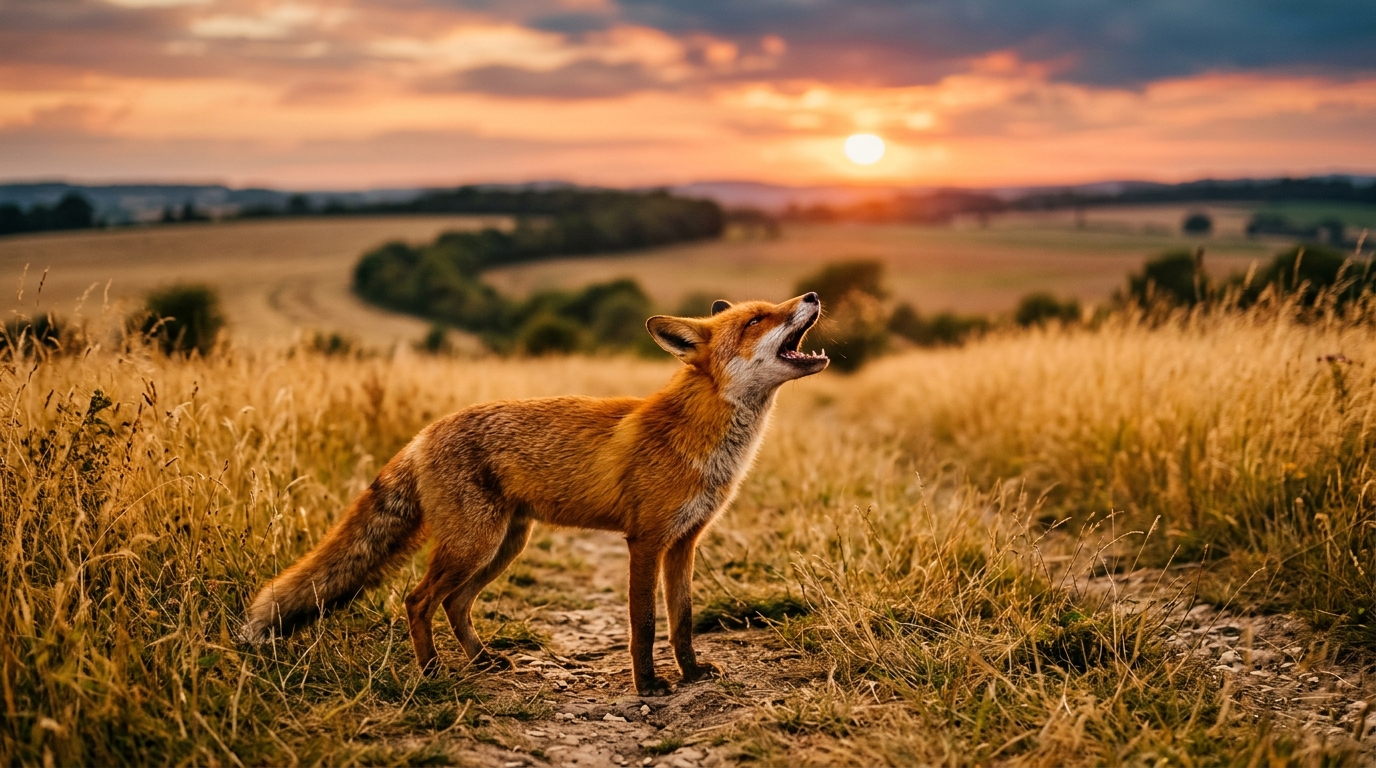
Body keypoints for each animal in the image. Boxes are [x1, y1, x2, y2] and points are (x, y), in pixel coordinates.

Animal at [239, 292, 828, 695]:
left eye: (772, 308)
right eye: (756, 320)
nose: (812, 296)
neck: (706, 441)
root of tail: (425, 432)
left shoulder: (684, 543)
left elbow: (681, 621)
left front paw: (692, 673)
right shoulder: (644, 541)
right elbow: (643, 624)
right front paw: (648, 686)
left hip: (504, 545)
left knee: (454, 603)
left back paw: (481, 661)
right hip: (474, 545)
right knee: (418, 600)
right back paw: (432, 673)